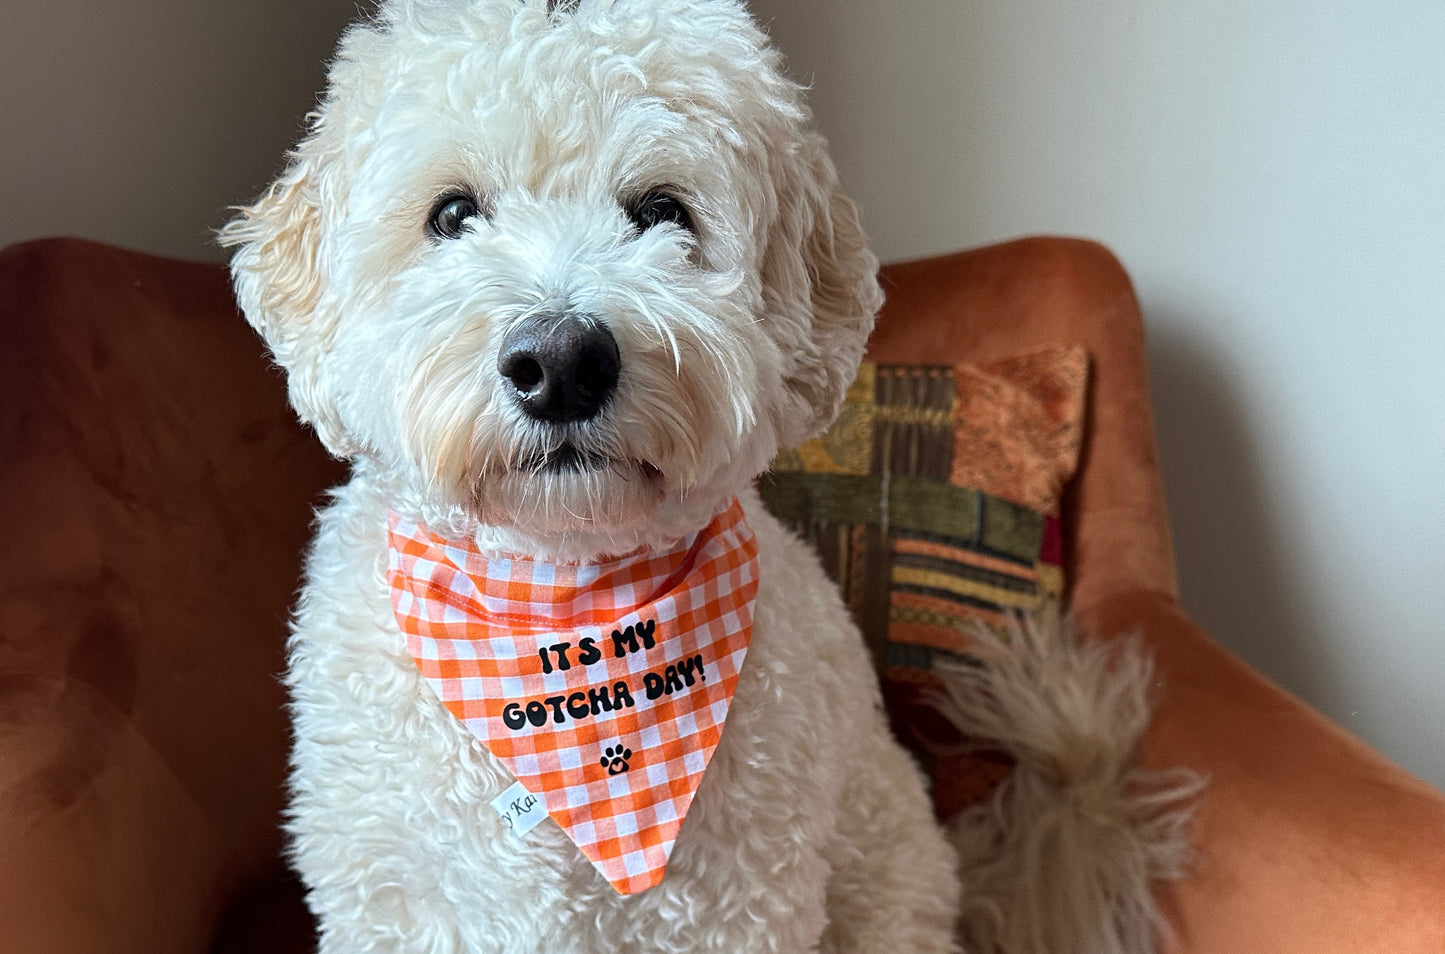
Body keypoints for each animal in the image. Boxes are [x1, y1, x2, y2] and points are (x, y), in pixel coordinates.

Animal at [222, 1, 959, 954]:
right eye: (451, 214)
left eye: (662, 211)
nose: (561, 363)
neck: (556, 595)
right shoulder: (395, 900)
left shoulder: (736, 906)